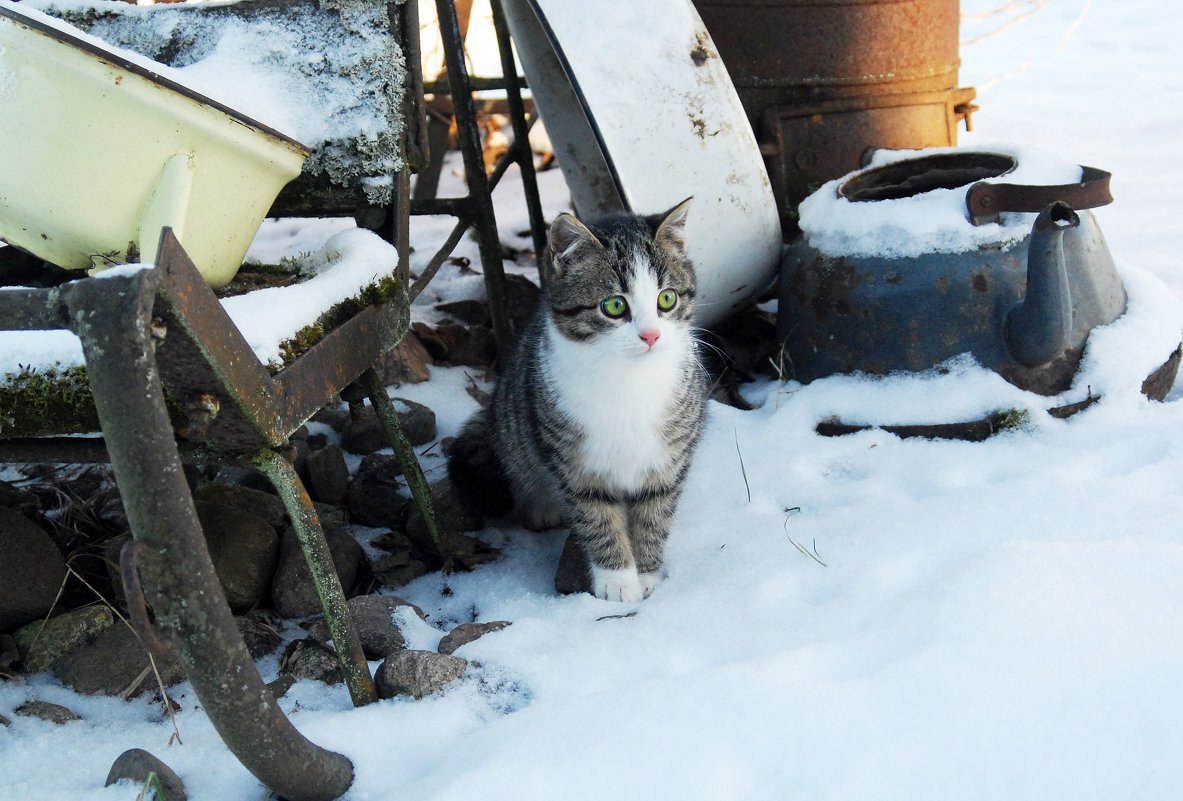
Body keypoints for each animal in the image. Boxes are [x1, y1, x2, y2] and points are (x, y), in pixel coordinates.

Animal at [444, 198, 705, 601]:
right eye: (614, 306)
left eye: (667, 298)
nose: (651, 336)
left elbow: (655, 513)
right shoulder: (573, 460)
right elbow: (596, 517)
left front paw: (646, 573)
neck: (629, 380)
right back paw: (542, 506)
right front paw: (617, 580)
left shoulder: (670, 454)